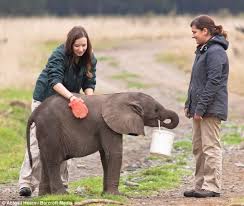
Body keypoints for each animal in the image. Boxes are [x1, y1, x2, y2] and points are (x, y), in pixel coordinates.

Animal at [26, 91, 179, 195]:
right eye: (156, 110)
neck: (125, 96)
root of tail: (35, 113)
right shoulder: (106, 126)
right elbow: (114, 153)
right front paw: (116, 195)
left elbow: (106, 156)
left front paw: (106, 194)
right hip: (50, 127)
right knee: (53, 161)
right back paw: (62, 195)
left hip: (45, 131)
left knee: (44, 159)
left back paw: (45, 196)